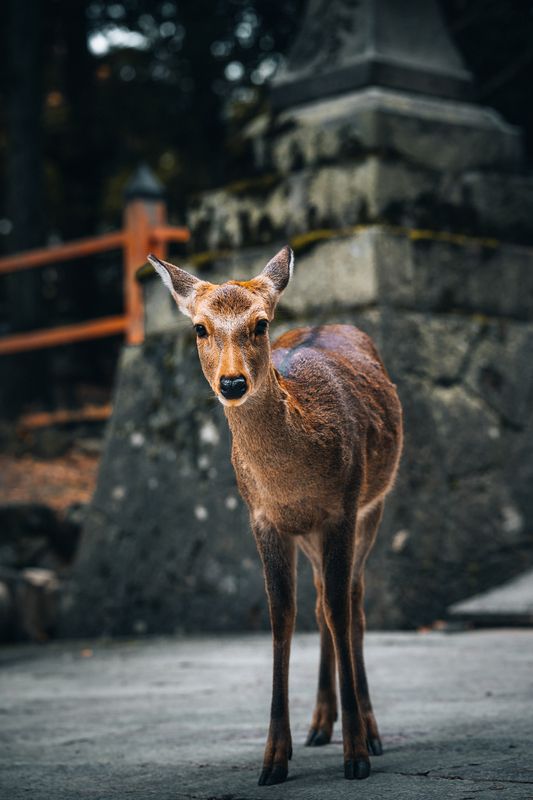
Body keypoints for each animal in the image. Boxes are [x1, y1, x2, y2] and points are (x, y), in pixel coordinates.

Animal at [148, 245, 403, 786]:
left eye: (261, 323)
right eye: (199, 328)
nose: (232, 382)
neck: (291, 482)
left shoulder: (341, 509)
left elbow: (340, 610)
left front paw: (357, 755)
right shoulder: (264, 519)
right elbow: (281, 615)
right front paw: (273, 758)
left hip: (373, 506)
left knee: (351, 603)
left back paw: (368, 730)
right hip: (309, 535)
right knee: (322, 603)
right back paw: (319, 724)